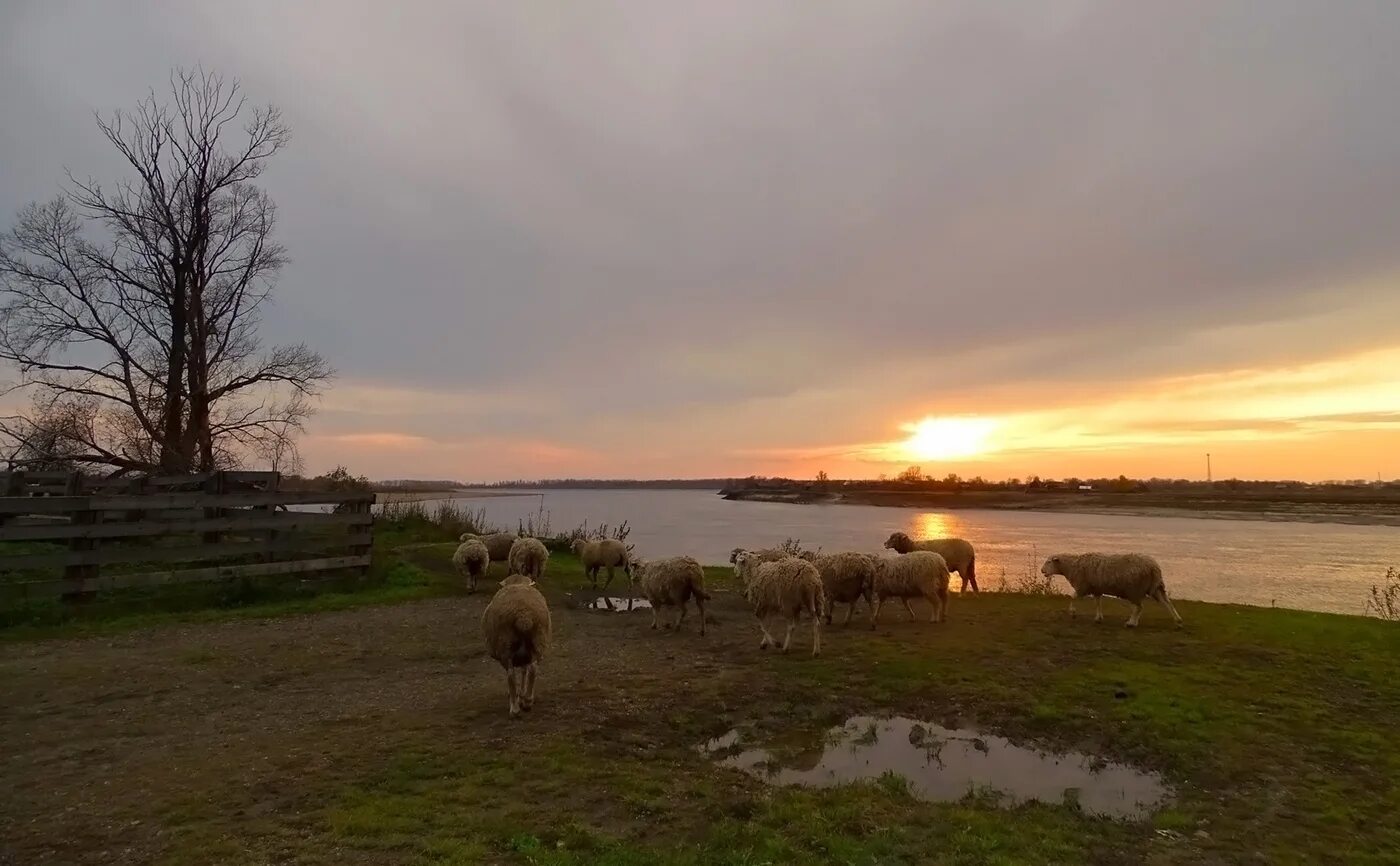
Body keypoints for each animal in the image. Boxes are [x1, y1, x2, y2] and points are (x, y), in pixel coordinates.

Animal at [478, 576, 548, 716]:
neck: (517, 582)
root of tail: (524, 616)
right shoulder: (525, 655)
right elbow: (524, 671)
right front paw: (522, 696)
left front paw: (518, 697)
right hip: (538, 641)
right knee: (533, 669)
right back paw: (528, 702)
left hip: (505, 646)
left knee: (510, 675)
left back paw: (514, 709)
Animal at [1041, 556, 1181, 629]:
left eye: (1049, 562)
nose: (1042, 571)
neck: (1072, 566)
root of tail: (1154, 567)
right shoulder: (1096, 588)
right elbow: (1098, 603)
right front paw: (1098, 618)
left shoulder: (1083, 586)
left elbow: (1073, 597)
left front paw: (1073, 612)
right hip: (1155, 587)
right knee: (1166, 602)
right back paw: (1178, 621)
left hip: (1134, 589)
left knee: (1139, 607)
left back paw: (1131, 622)